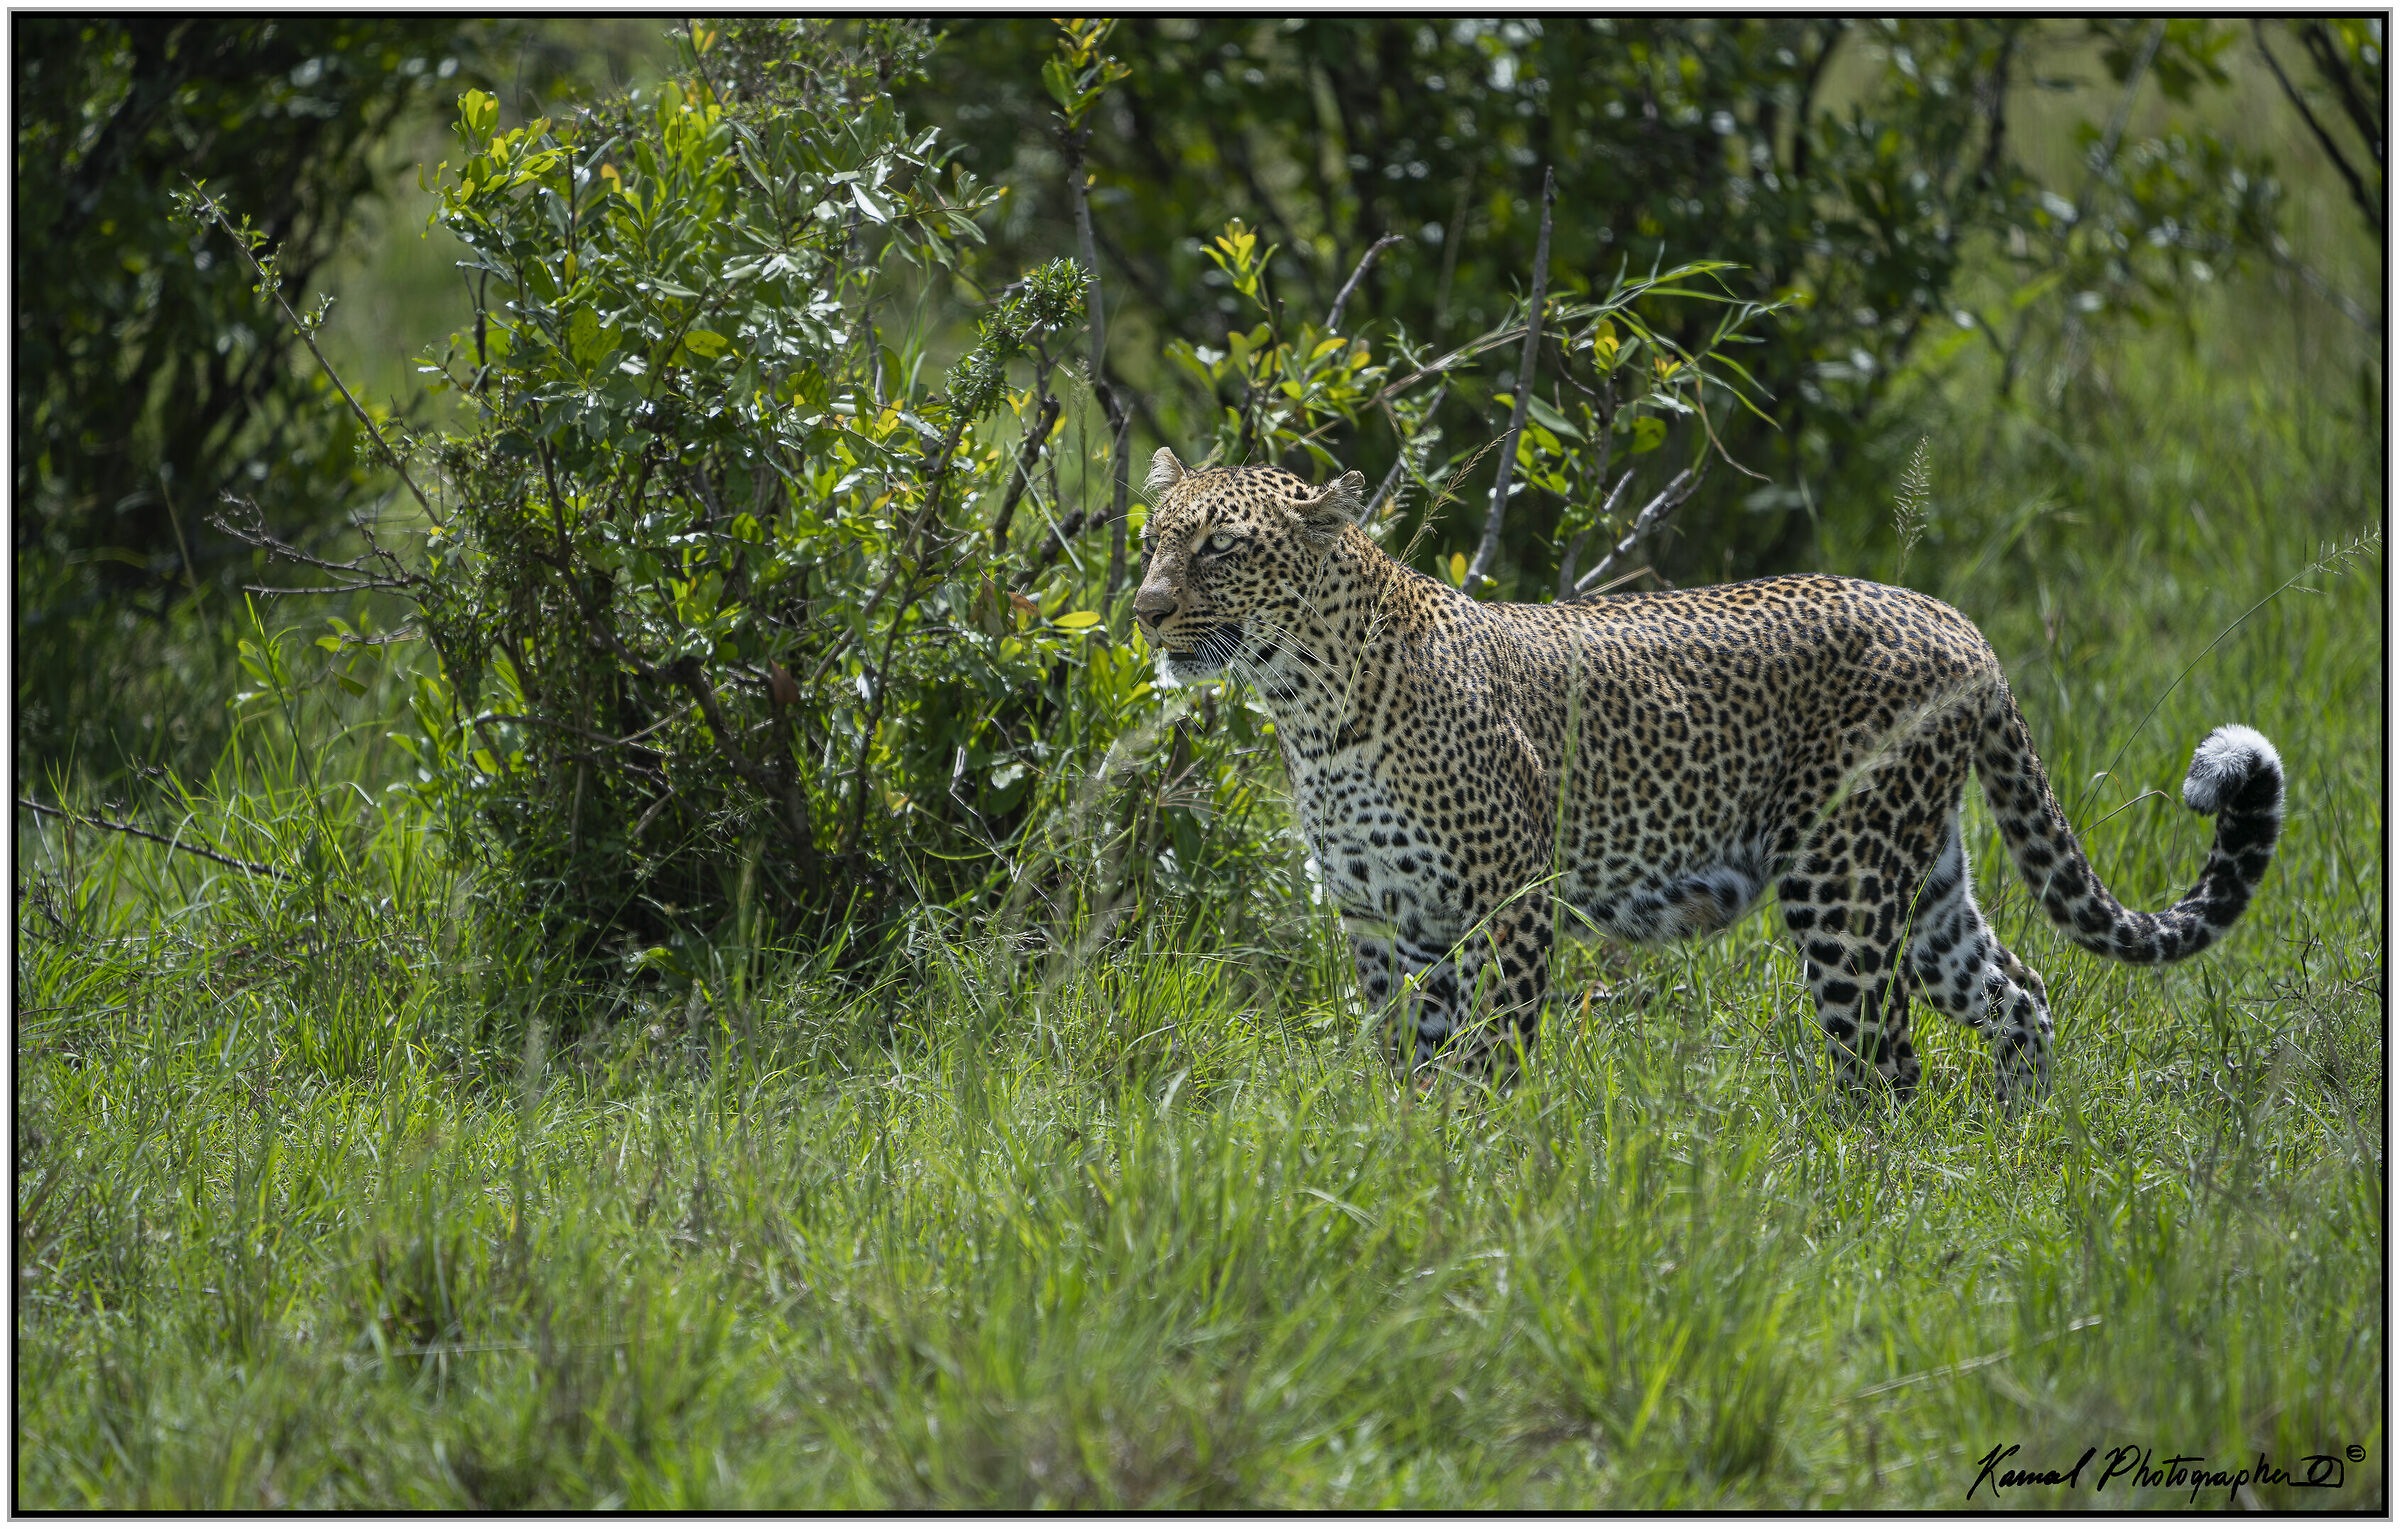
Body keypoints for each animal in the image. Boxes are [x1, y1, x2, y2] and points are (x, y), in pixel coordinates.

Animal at [1130, 450, 2285, 1104]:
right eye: (1153, 538)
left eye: (1222, 547)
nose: (1144, 609)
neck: (1309, 705)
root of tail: (1957, 621)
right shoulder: (1382, 921)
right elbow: (1405, 1056)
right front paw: (1410, 1150)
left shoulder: (1510, 904)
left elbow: (1493, 1053)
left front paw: (1479, 1168)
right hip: (1925, 885)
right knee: (2021, 993)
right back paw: (2021, 1141)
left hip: (1842, 880)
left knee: (1887, 1064)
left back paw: (1861, 1199)